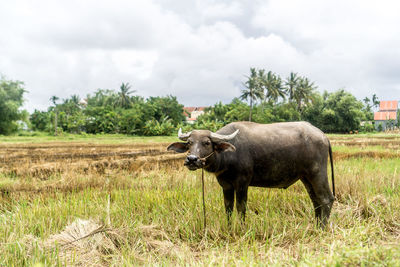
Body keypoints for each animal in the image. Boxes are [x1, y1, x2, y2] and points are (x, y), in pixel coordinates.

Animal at [167, 122, 336, 227]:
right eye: (189, 143)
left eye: (207, 143)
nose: (192, 159)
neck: (229, 154)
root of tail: (323, 136)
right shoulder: (226, 185)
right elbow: (228, 207)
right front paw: (229, 227)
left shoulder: (243, 183)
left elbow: (241, 207)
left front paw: (242, 228)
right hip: (305, 177)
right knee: (315, 200)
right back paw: (316, 226)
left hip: (317, 172)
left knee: (326, 198)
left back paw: (322, 228)